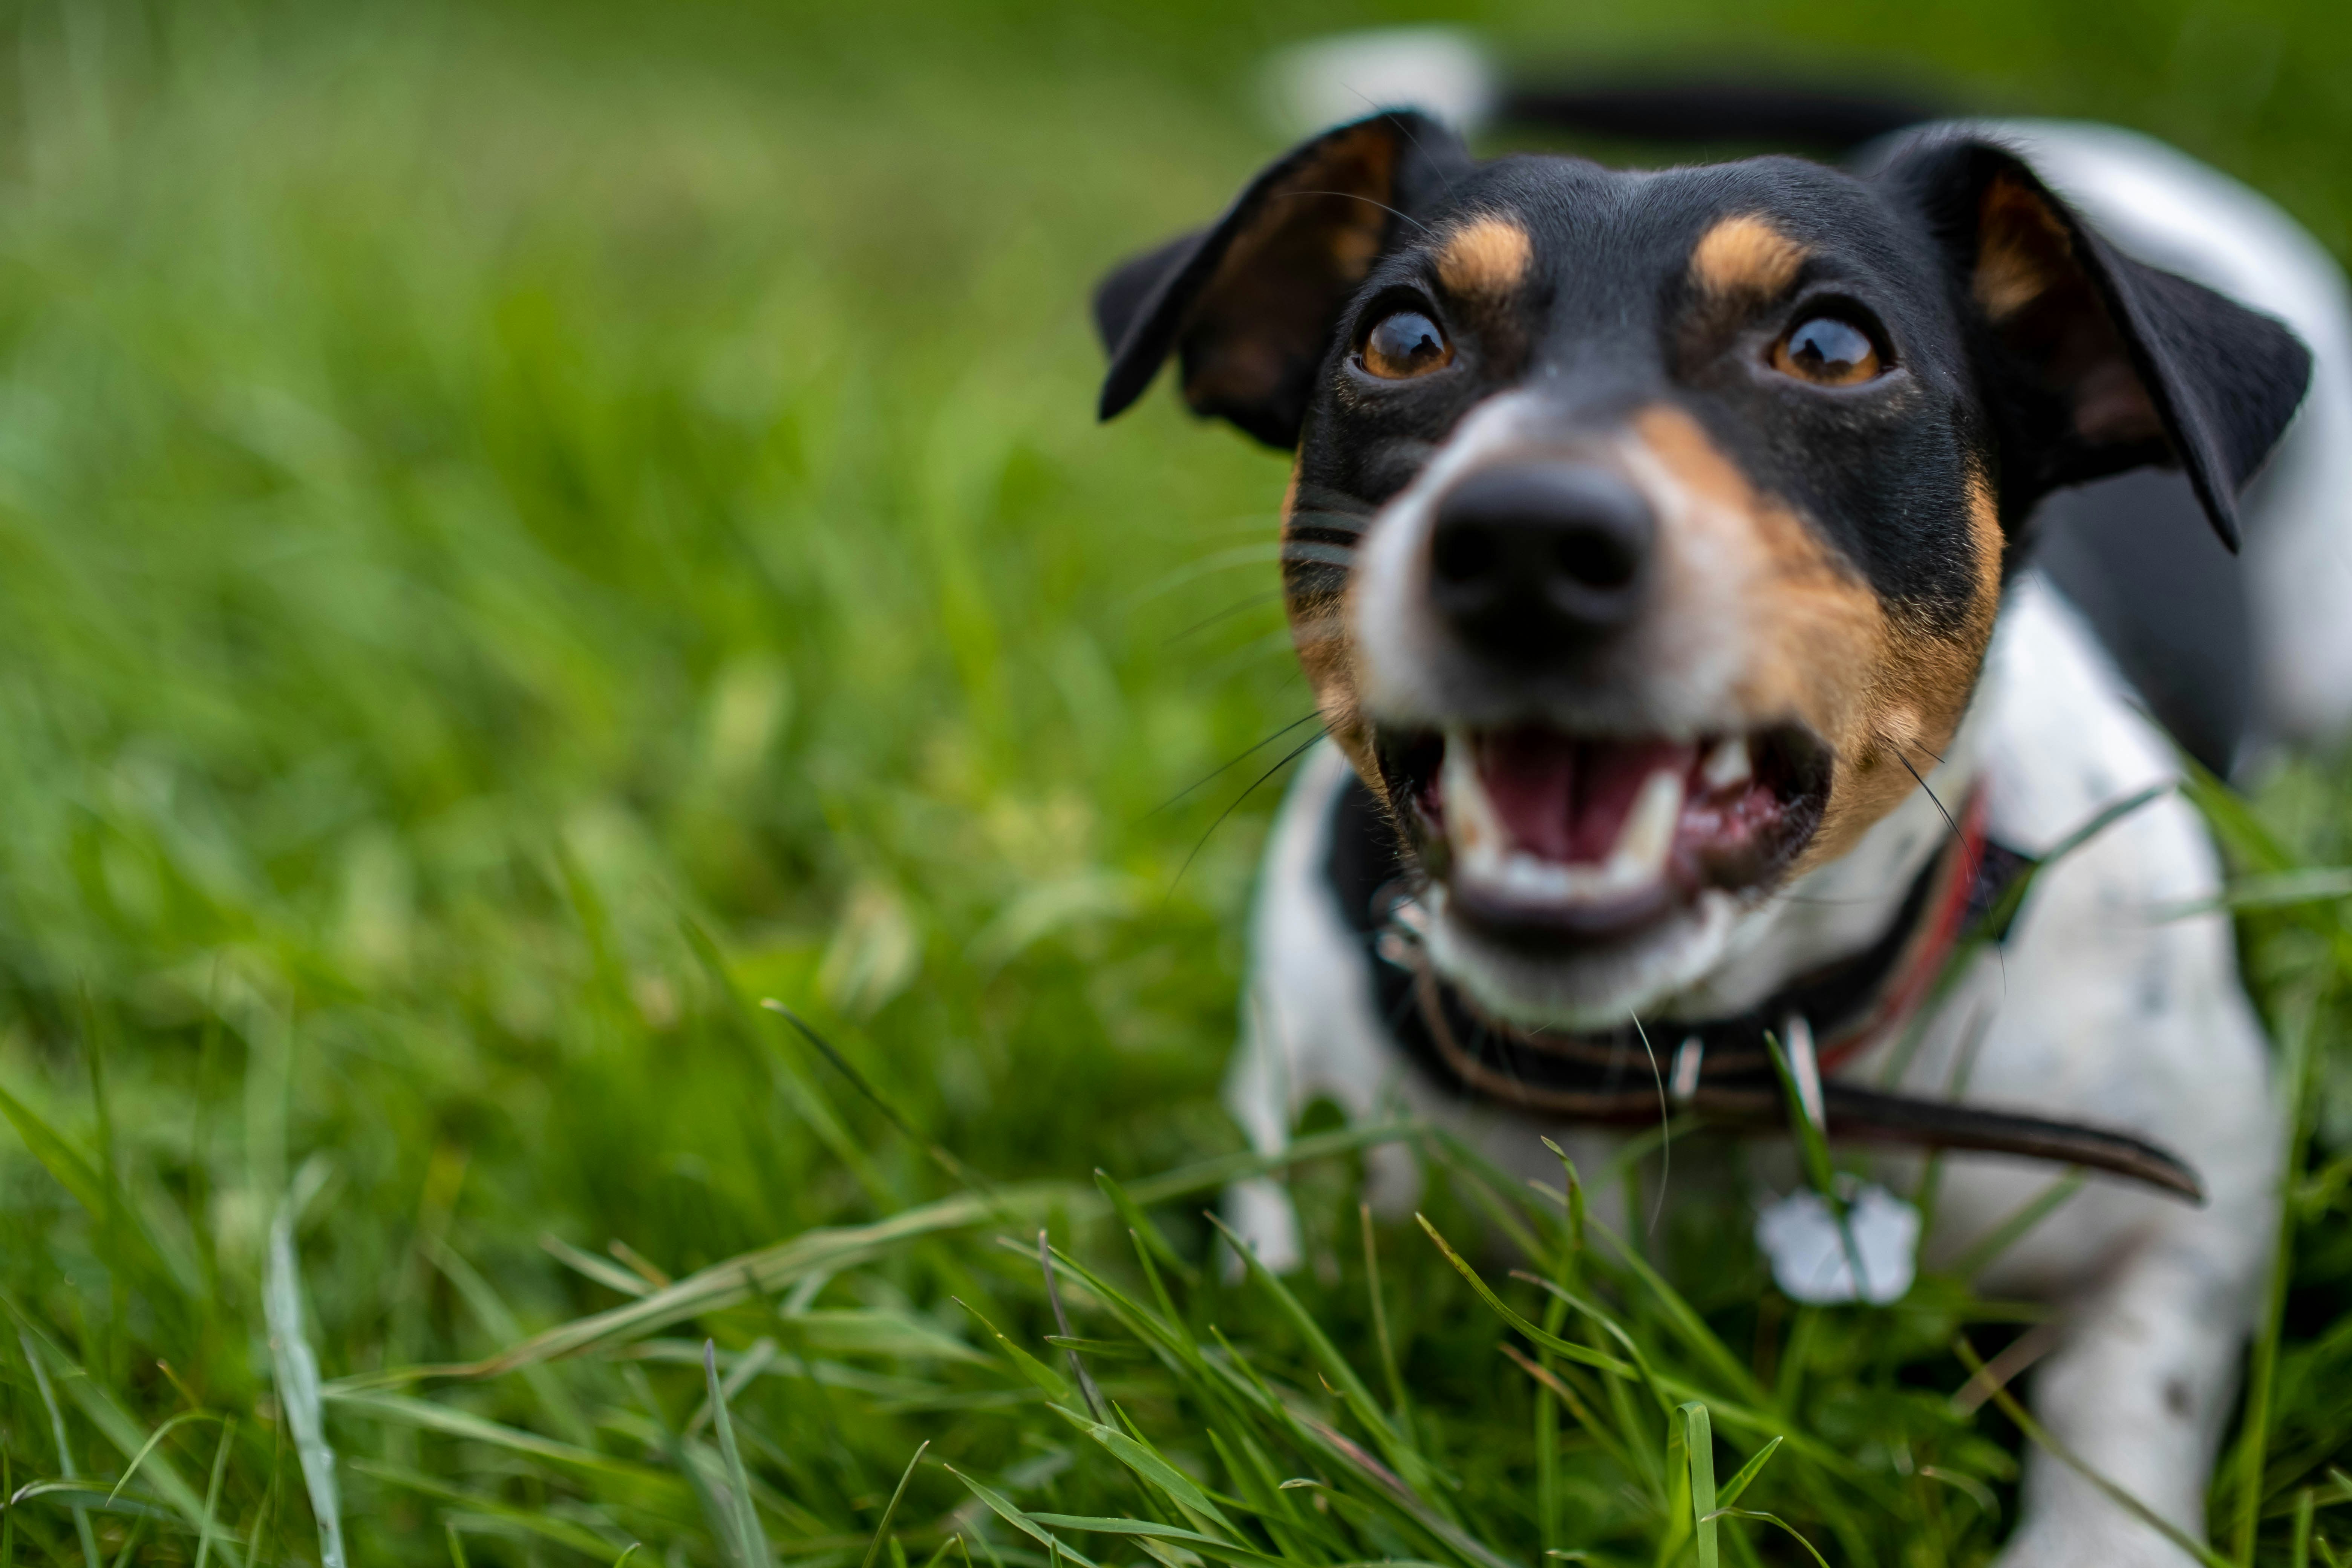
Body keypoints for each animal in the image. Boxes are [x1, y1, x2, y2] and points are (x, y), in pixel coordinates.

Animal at [1091, 37, 2343, 1568]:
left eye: (1831, 348)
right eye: (1400, 338)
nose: (1524, 537)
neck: (1695, 1048)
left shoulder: (2199, 1200)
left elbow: (2125, 1409)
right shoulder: (1302, 1155)